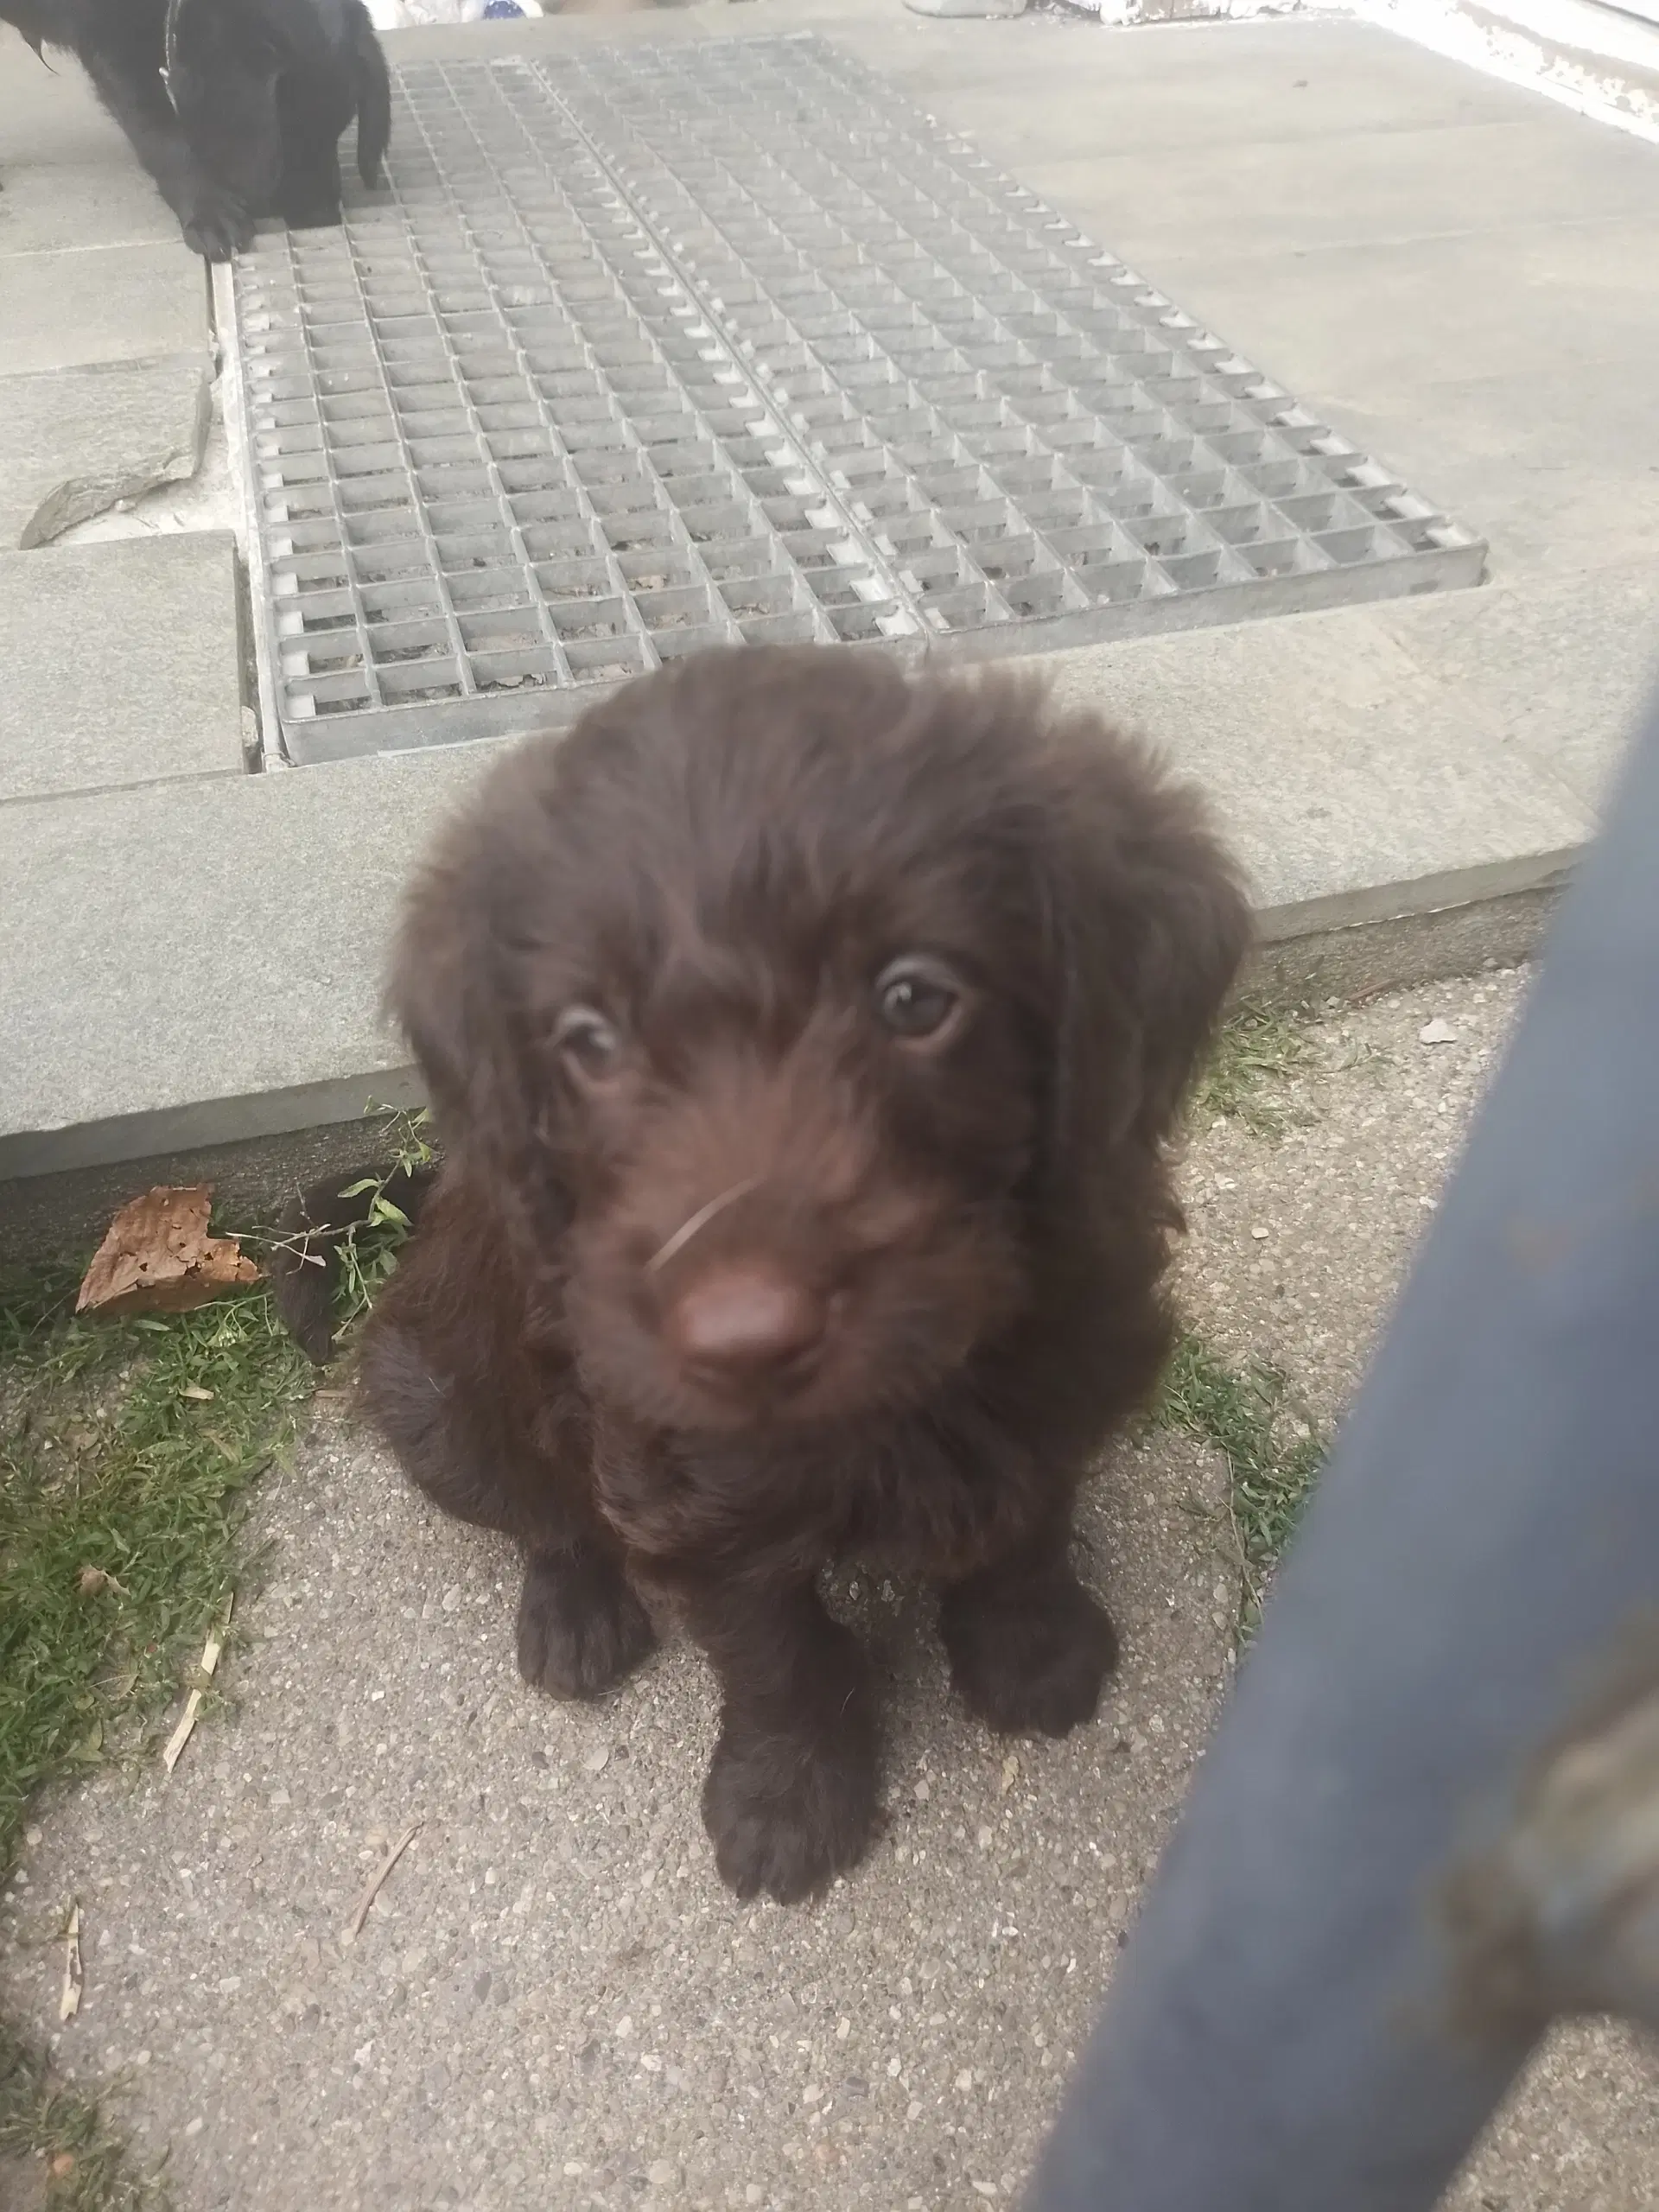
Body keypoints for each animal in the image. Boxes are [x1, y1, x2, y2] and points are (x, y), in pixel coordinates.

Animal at [0, 0, 391, 257]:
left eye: (336, 131)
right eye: (287, 135)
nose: (323, 219)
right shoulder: (112, 44)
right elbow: (163, 137)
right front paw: (211, 216)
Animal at [360, 641, 1247, 1902]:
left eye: (916, 997)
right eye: (588, 1040)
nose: (746, 1335)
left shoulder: (1073, 1358)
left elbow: (1027, 1519)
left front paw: (1032, 1647)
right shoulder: (687, 1484)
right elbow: (772, 1647)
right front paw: (789, 1797)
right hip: (429, 1394)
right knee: (538, 1509)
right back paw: (575, 1612)